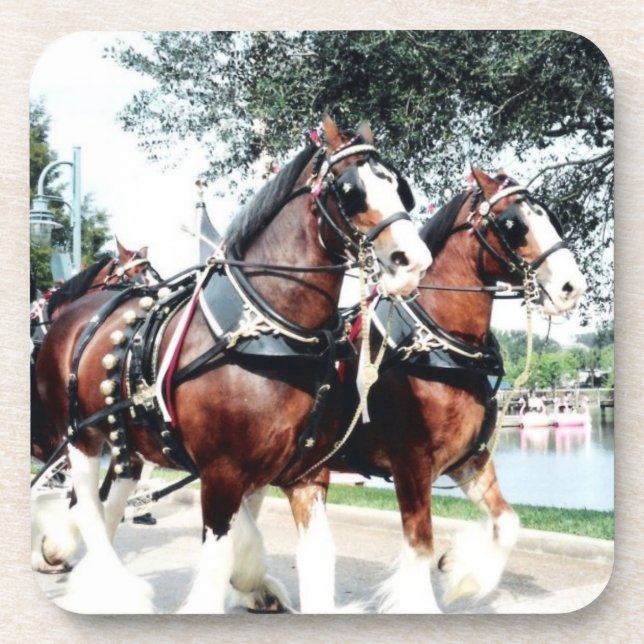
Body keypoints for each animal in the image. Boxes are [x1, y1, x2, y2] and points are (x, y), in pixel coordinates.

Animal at [34, 115, 432, 613]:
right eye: (350, 190)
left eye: (399, 188)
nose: (414, 261)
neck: (271, 334)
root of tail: (74, 312)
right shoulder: (222, 472)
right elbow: (219, 558)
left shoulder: (305, 473)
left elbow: (315, 557)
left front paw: (258, 583)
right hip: (79, 434)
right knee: (85, 503)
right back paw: (107, 582)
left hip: (126, 438)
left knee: (113, 493)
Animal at [268, 167, 586, 613]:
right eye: (514, 223)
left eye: (548, 217)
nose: (572, 286)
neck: (436, 346)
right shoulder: (411, 464)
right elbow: (419, 544)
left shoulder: (470, 459)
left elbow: (507, 523)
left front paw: (462, 574)